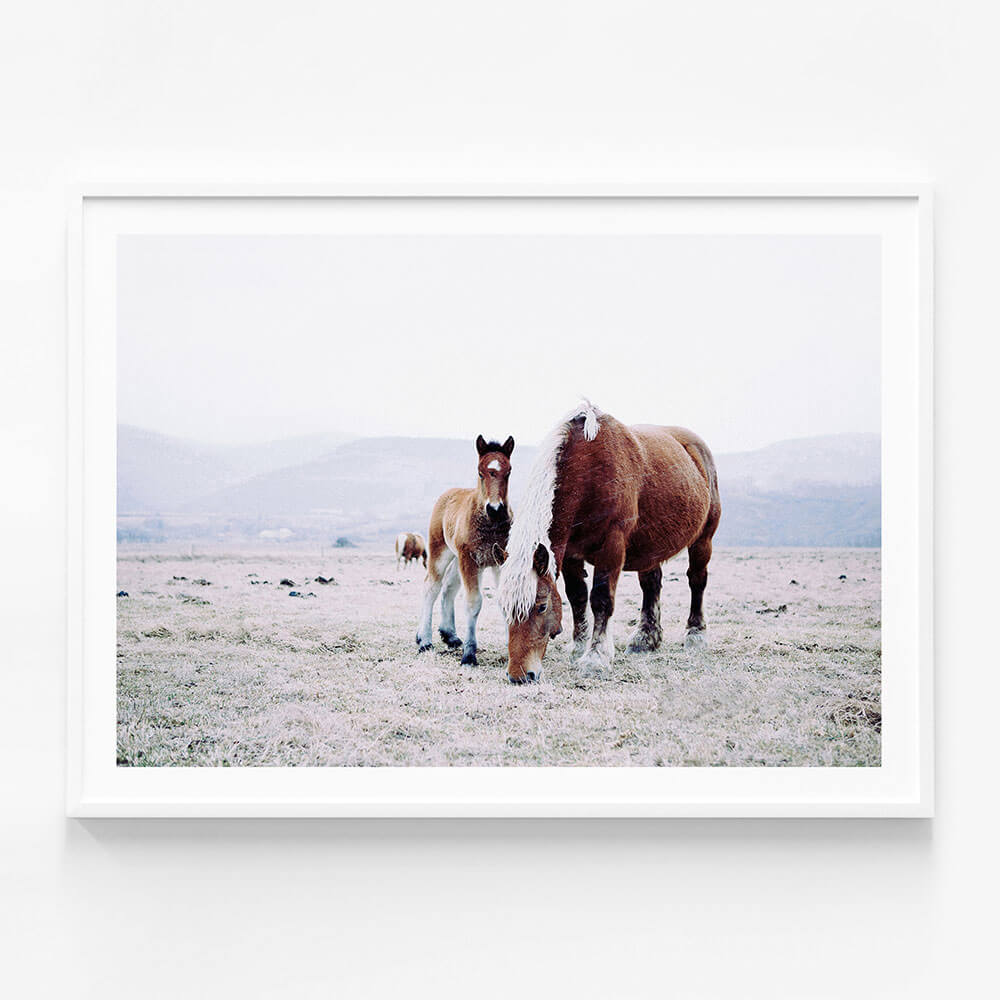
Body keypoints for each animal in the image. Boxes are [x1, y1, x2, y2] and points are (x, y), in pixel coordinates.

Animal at [416, 434, 515, 665]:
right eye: (480, 472)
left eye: (508, 471)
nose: (495, 510)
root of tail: (449, 492)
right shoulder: (470, 560)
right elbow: (473, 603)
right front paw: (469, 655)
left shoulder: (500, 560)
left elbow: (506, 600)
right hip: (441, 552)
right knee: (431, 587)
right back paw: (424, 640)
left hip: (457, 558)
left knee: (448, 588)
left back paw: (449, 635)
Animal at [498, 402, 721, 684]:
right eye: (504, 608)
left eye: (541, 607)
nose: (520, 675)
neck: (588, 471)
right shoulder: (571, 554)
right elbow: (577, 597)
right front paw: (578, 647)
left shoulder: (611, 547)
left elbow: (601, 599)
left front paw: (596, 658)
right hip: (650, 546)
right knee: (651, 584)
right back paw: (645, 639)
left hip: (703, 540)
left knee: (696, 580)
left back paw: (696, 634)